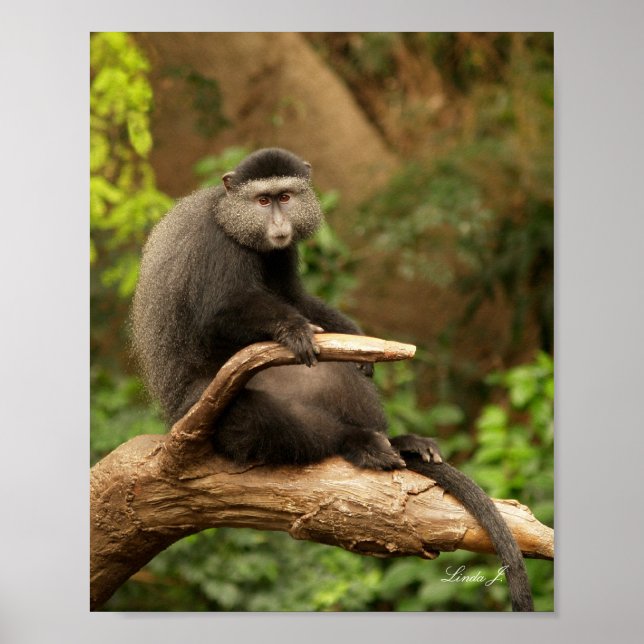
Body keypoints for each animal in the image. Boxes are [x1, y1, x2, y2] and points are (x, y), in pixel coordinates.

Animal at [131, 147, 533, 611]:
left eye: (286, 197)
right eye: (262, 201)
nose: (279, 225)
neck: (231, 217)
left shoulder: (280, 254)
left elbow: (296, 298)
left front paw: (353, 336)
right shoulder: (217, 249)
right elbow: (220, 314)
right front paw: (290, 328)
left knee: (336, 373)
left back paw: (397, 442)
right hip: (206, 408)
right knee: (264, 421)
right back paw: (357, 444)